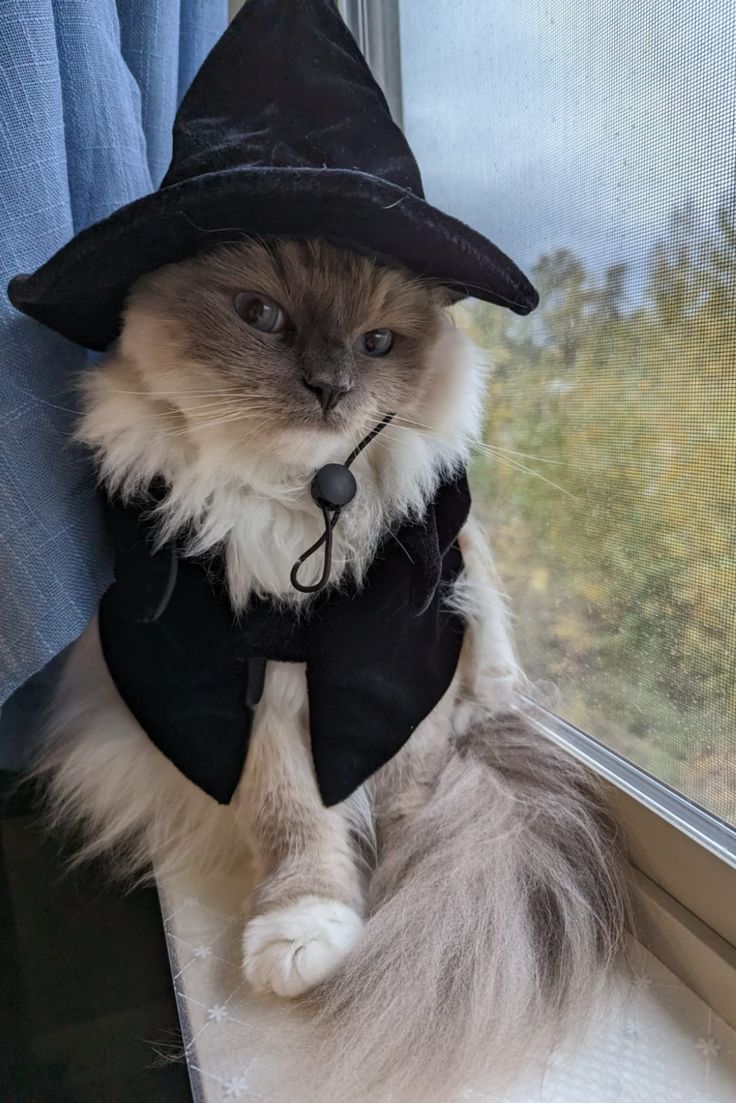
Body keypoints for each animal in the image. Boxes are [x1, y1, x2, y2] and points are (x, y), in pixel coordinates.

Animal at [37, 239, 631, 1103]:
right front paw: (308, 926)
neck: (304, 511)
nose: (331, 388)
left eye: (377, 343)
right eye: (261, 315)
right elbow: (294, 826)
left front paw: (404, 886)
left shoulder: (410, 668)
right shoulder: (254, 697)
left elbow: (410, 794)